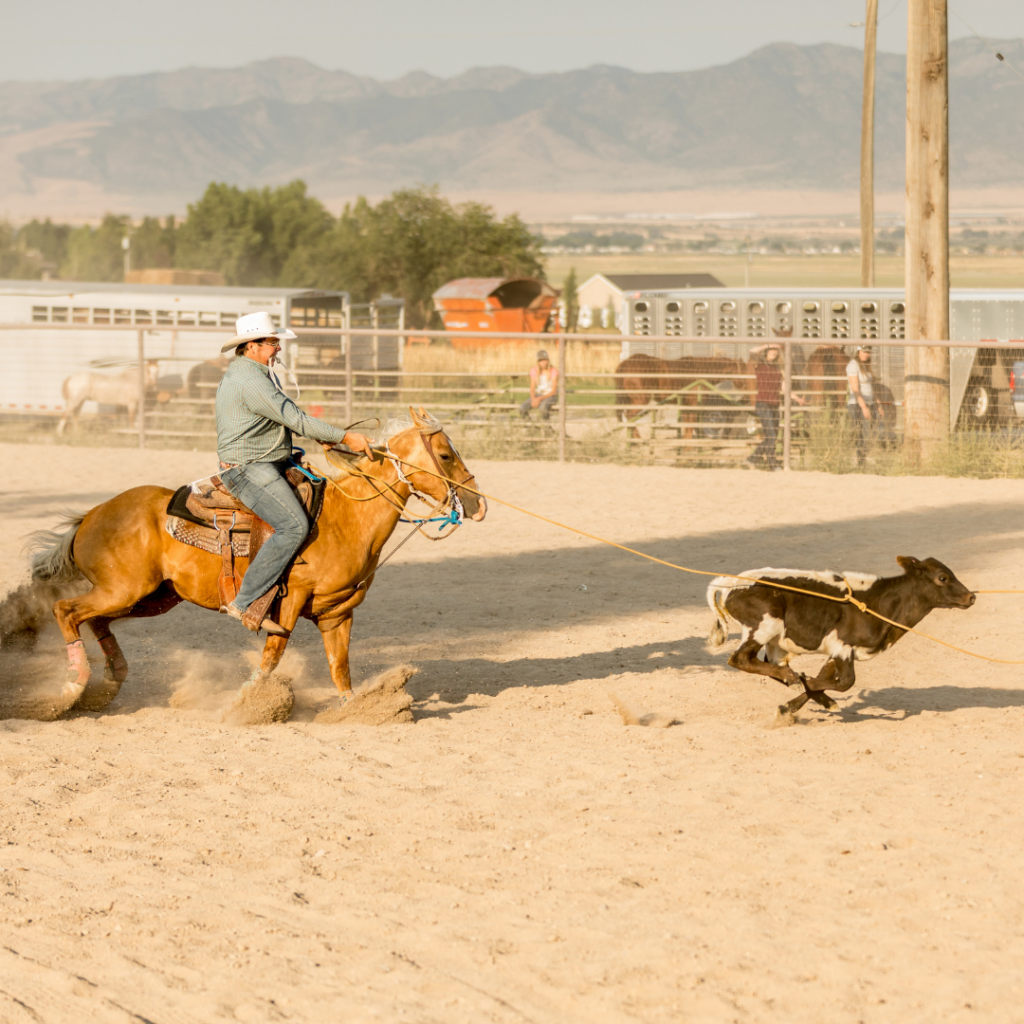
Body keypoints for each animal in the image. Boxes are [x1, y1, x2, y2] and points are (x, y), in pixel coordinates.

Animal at [24, 407, 483, 720]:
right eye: (445, 455)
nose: (477, 504)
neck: (347, 518)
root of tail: (91, 516)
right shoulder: (288, 602)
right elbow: (272, 657)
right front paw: (247, 704)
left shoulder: (337, 613)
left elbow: (340, 667)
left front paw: (357, 709)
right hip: (124, 589)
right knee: (66, 611)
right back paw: (70, 688)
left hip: (151, 597)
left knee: (96, 621)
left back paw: (106, 683)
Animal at [704, 557, 974, 716]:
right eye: (942, 577)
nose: (971, 597)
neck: (879, 602)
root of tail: (729, 583)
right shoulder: (843, 645)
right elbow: (845, 682)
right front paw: (804, 685)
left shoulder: (839, 651)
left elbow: (825, 678)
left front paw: (796, 702)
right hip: (765, 626)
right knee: (740, 659)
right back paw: (791, 676)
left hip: (774, 641)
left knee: (766, 664)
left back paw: (792, 678)